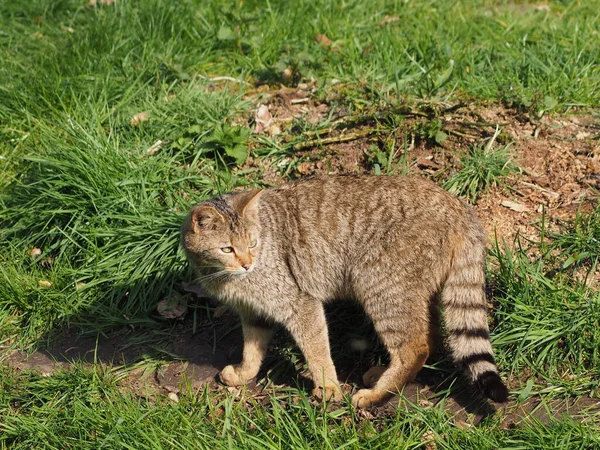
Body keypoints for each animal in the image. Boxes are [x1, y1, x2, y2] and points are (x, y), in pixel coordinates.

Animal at [180, 174, 508, 406]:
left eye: (253, 243)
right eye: (227, 249)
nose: (248, 265)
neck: (222, 275)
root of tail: (458, 206)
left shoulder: (299, 302)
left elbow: (316, 351)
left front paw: (327, 387)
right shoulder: (253, 311)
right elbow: (252, 349)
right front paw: (244, 373)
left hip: (381, 286)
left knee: (415, 347)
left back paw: (376, 395)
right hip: (408, 292)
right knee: (431, 336)